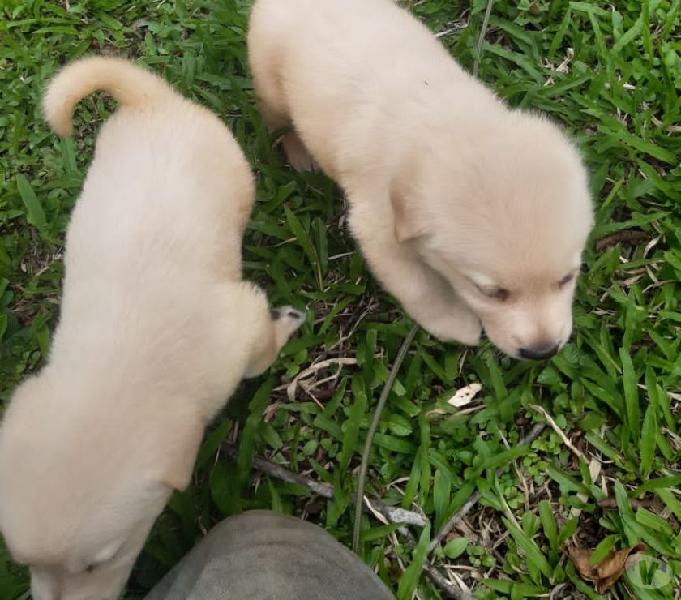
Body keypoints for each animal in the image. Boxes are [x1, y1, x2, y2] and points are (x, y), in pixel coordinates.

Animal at [0, 55, 304, 600]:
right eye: (25, 564)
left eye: (101, 561)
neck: (118, 368)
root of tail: (152, 102)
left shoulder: (239, 327)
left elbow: (261, 350)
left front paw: (286, 325)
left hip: (235, 173)